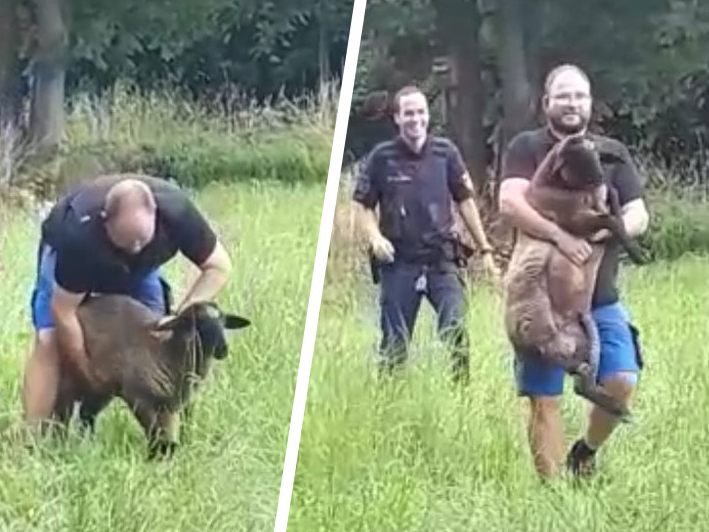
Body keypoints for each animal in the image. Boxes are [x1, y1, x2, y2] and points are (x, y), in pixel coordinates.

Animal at [50, 296, 249, 458]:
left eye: (223, 320)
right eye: (195, 322)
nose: (223, 349)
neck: (166, 353)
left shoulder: (173, 404)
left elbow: (171, 431)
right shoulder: (140, 399)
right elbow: (153, 432)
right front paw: (156, 456)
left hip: (102, 388)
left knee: (87, 414)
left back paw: (87, 444)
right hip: (71, 377)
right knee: (63, 413)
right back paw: (60, 445)